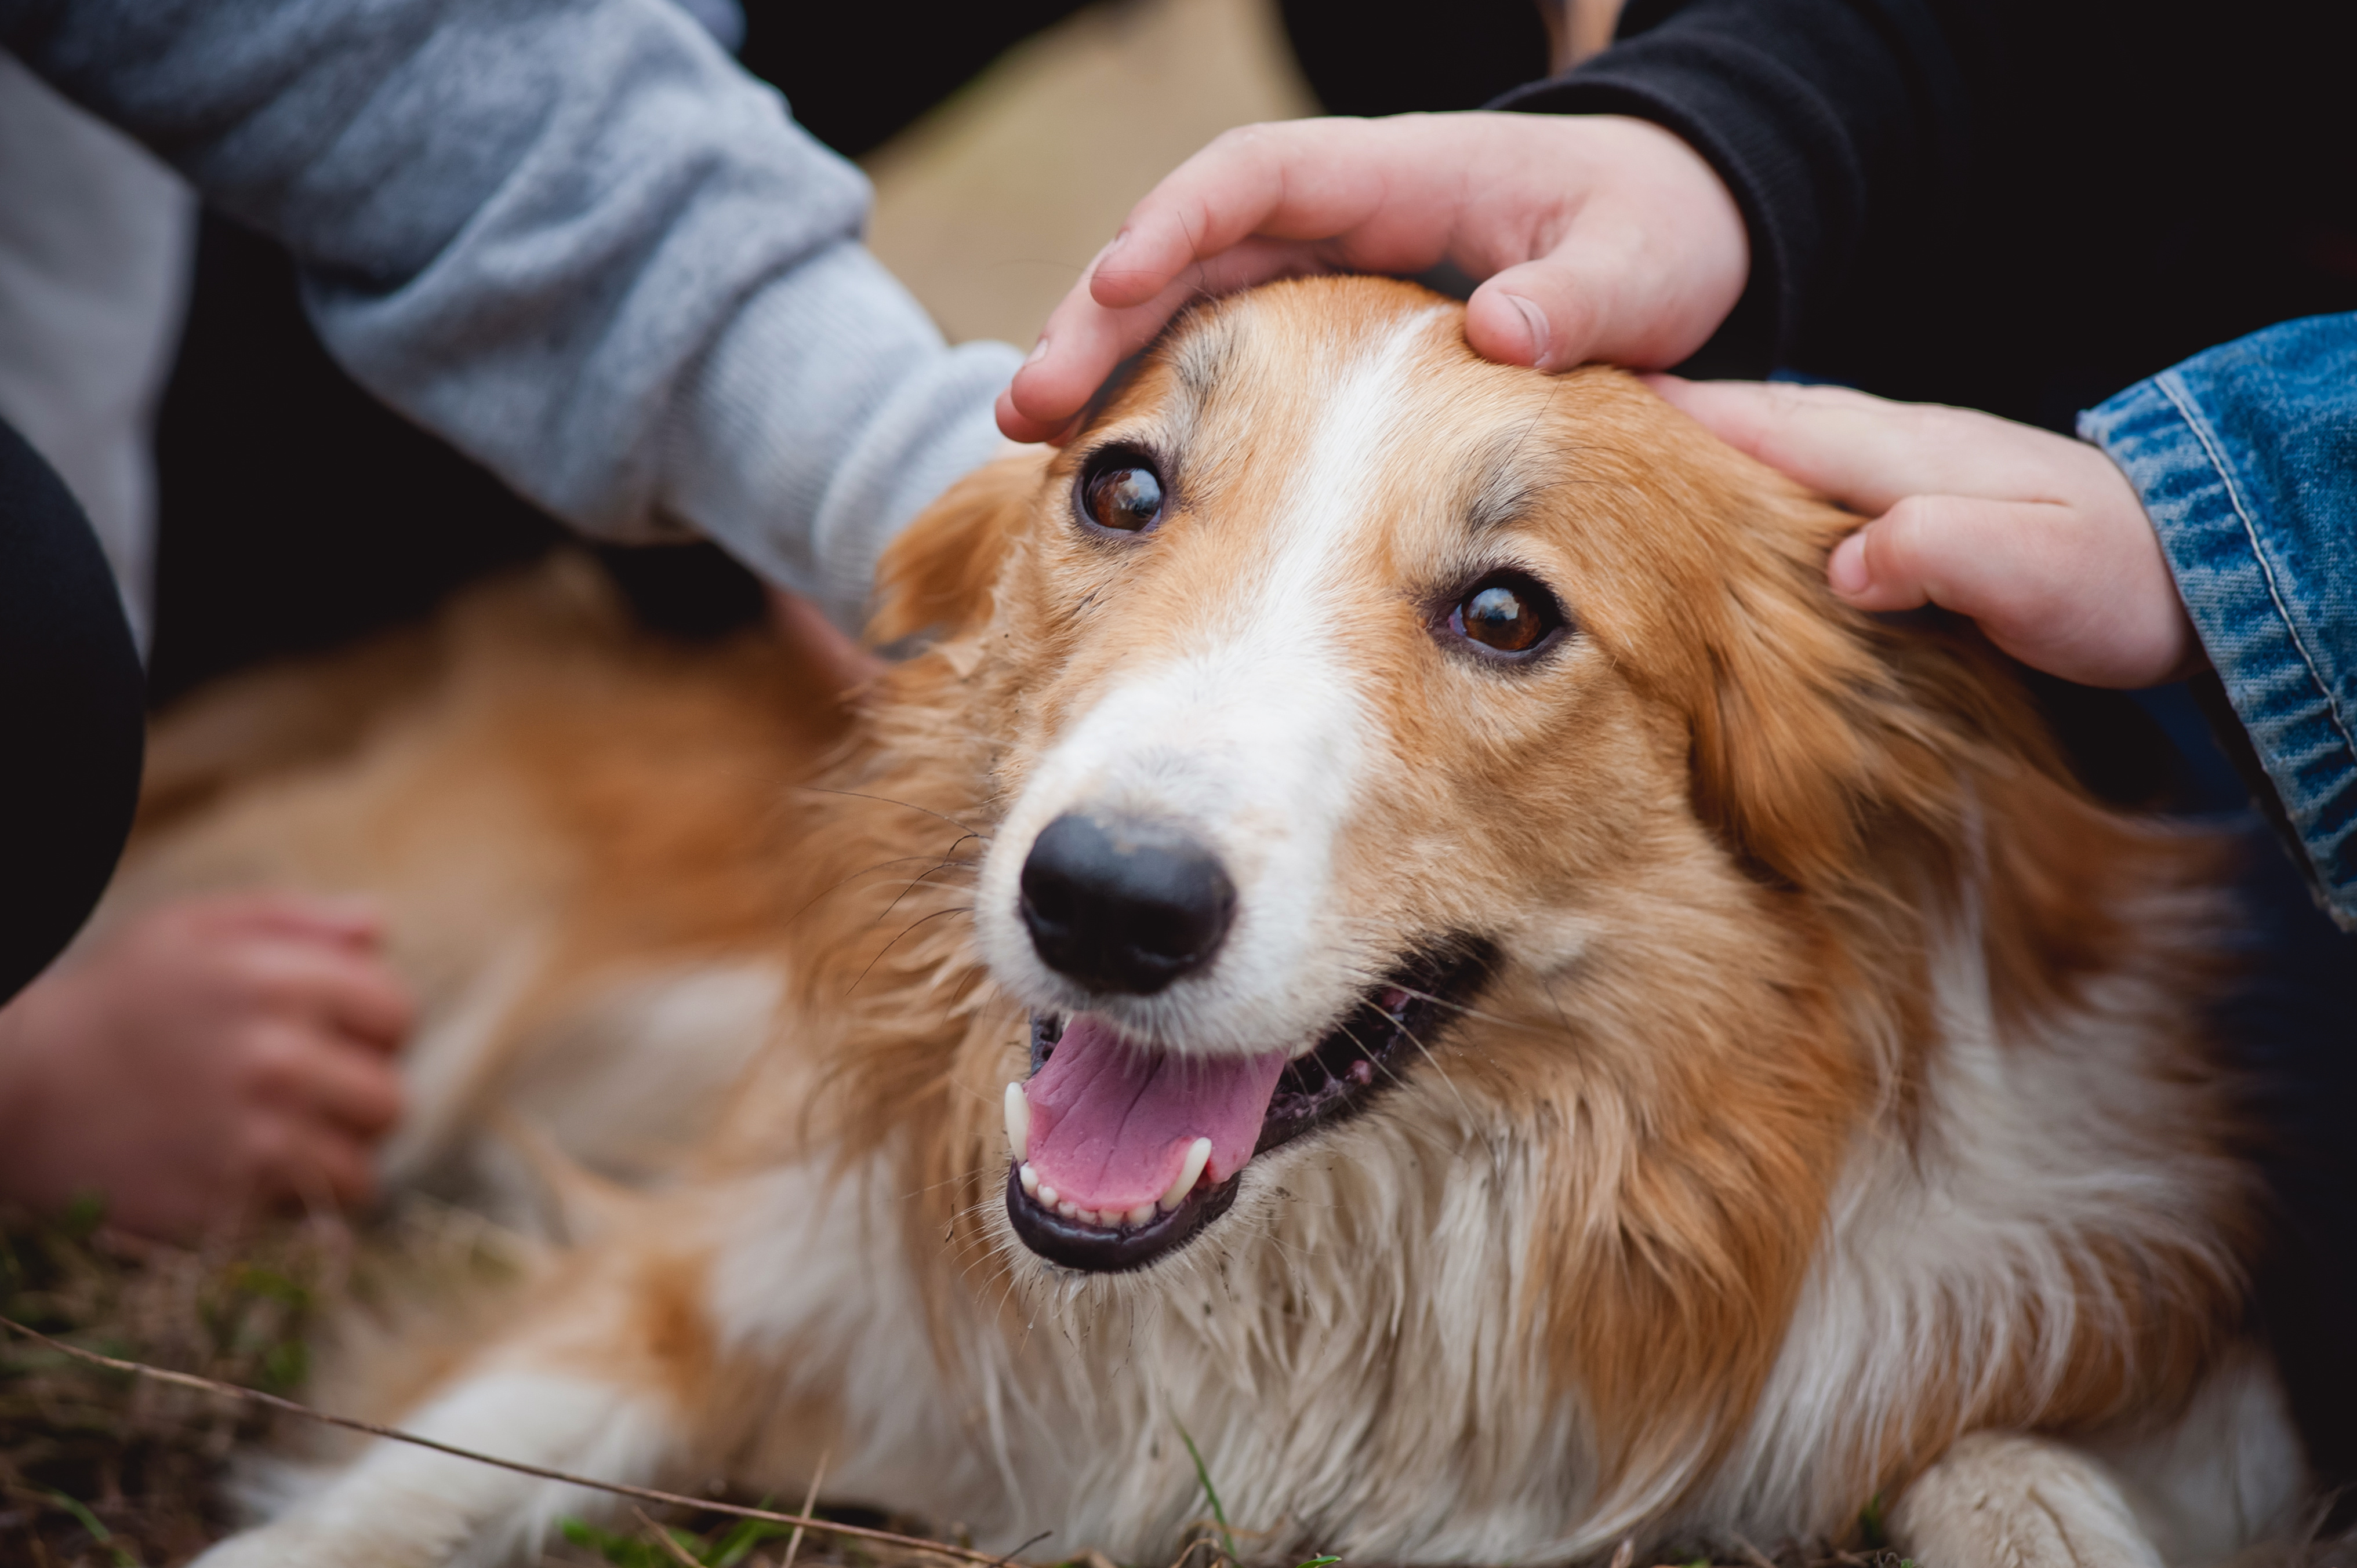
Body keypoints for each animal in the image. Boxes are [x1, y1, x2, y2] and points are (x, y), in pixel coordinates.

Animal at [133, 278, 2300, 1565]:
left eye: (1505, 611)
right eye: (1119, 487)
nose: (1101, 900)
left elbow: (2011, 1462)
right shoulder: (729, 1256)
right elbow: (381, 1500)